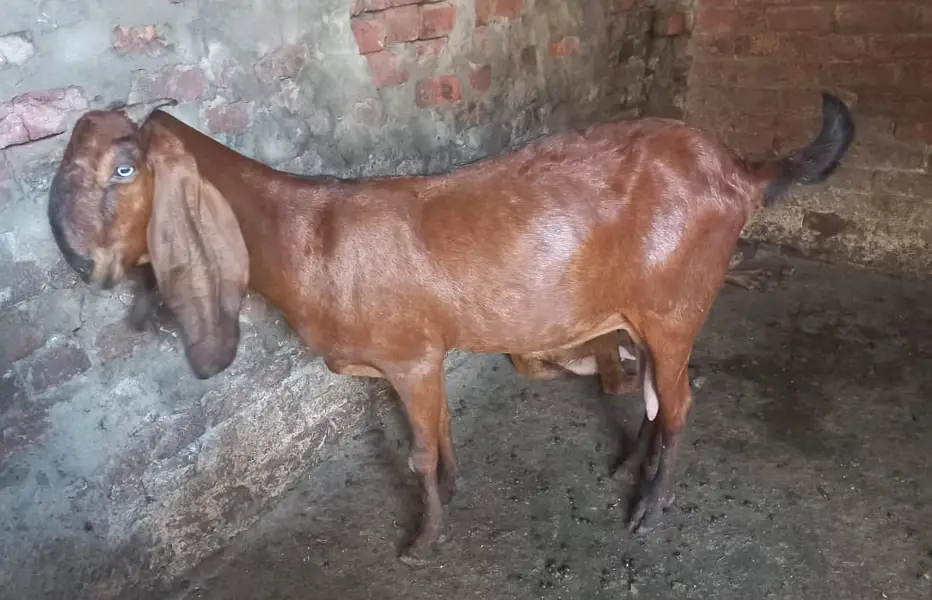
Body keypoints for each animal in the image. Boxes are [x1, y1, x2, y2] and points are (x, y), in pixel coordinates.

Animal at [47, 92, 855, 564]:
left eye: (126, 170)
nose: (76, 256)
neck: (307, 235)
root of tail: (739, 172)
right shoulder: (423, 357)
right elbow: (440, 434)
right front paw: (457, 490)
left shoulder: (410, 357)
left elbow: (418, 453)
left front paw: (423, 539)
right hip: (639, 313)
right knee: (658, 390)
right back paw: (631, 463)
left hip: (674, 304)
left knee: (684, 398)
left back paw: (649, 508)